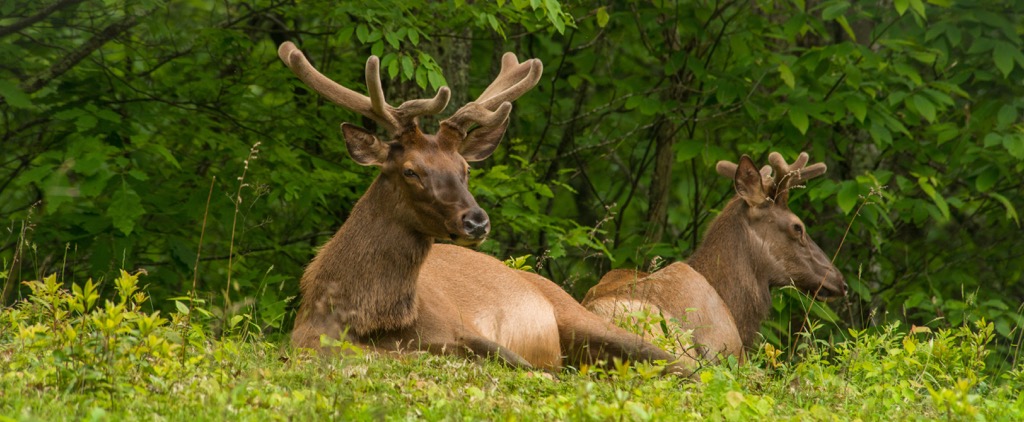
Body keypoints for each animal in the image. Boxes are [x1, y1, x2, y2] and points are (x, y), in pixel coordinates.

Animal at [278, 42, 690, 374]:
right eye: (410, 170)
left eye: (465, 169)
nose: (476, 222)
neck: (368, 319)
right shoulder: (307, 342)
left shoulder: (463, 329)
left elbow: (524, 366)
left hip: (575, 310)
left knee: (680, 362)